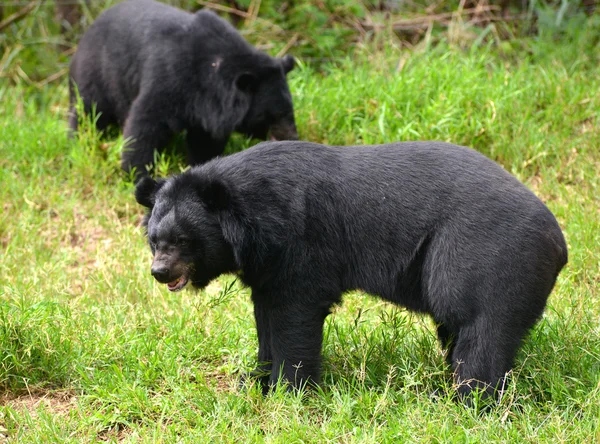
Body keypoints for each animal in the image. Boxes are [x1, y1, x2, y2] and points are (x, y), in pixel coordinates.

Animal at [69, 1, 298, 180]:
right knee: (87, 112)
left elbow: (205, 141)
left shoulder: (208, 109)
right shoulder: (169, 77)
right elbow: (145, 123)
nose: (294, 137)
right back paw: (78, 143)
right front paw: (135, 174)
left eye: (290, 110)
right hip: (96, 75)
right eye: (274, 115)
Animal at [135, 141, 568, 402]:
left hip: (485, 256)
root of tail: (559, 241)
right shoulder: (266, 265)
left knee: (480, 328)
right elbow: (266, 315)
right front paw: (255, 379)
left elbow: (294, 312)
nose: (160, 272)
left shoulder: (301, 241)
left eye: (183, 240)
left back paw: (465, 399)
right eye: (154, 240)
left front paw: (289, 390)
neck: (253, 217)